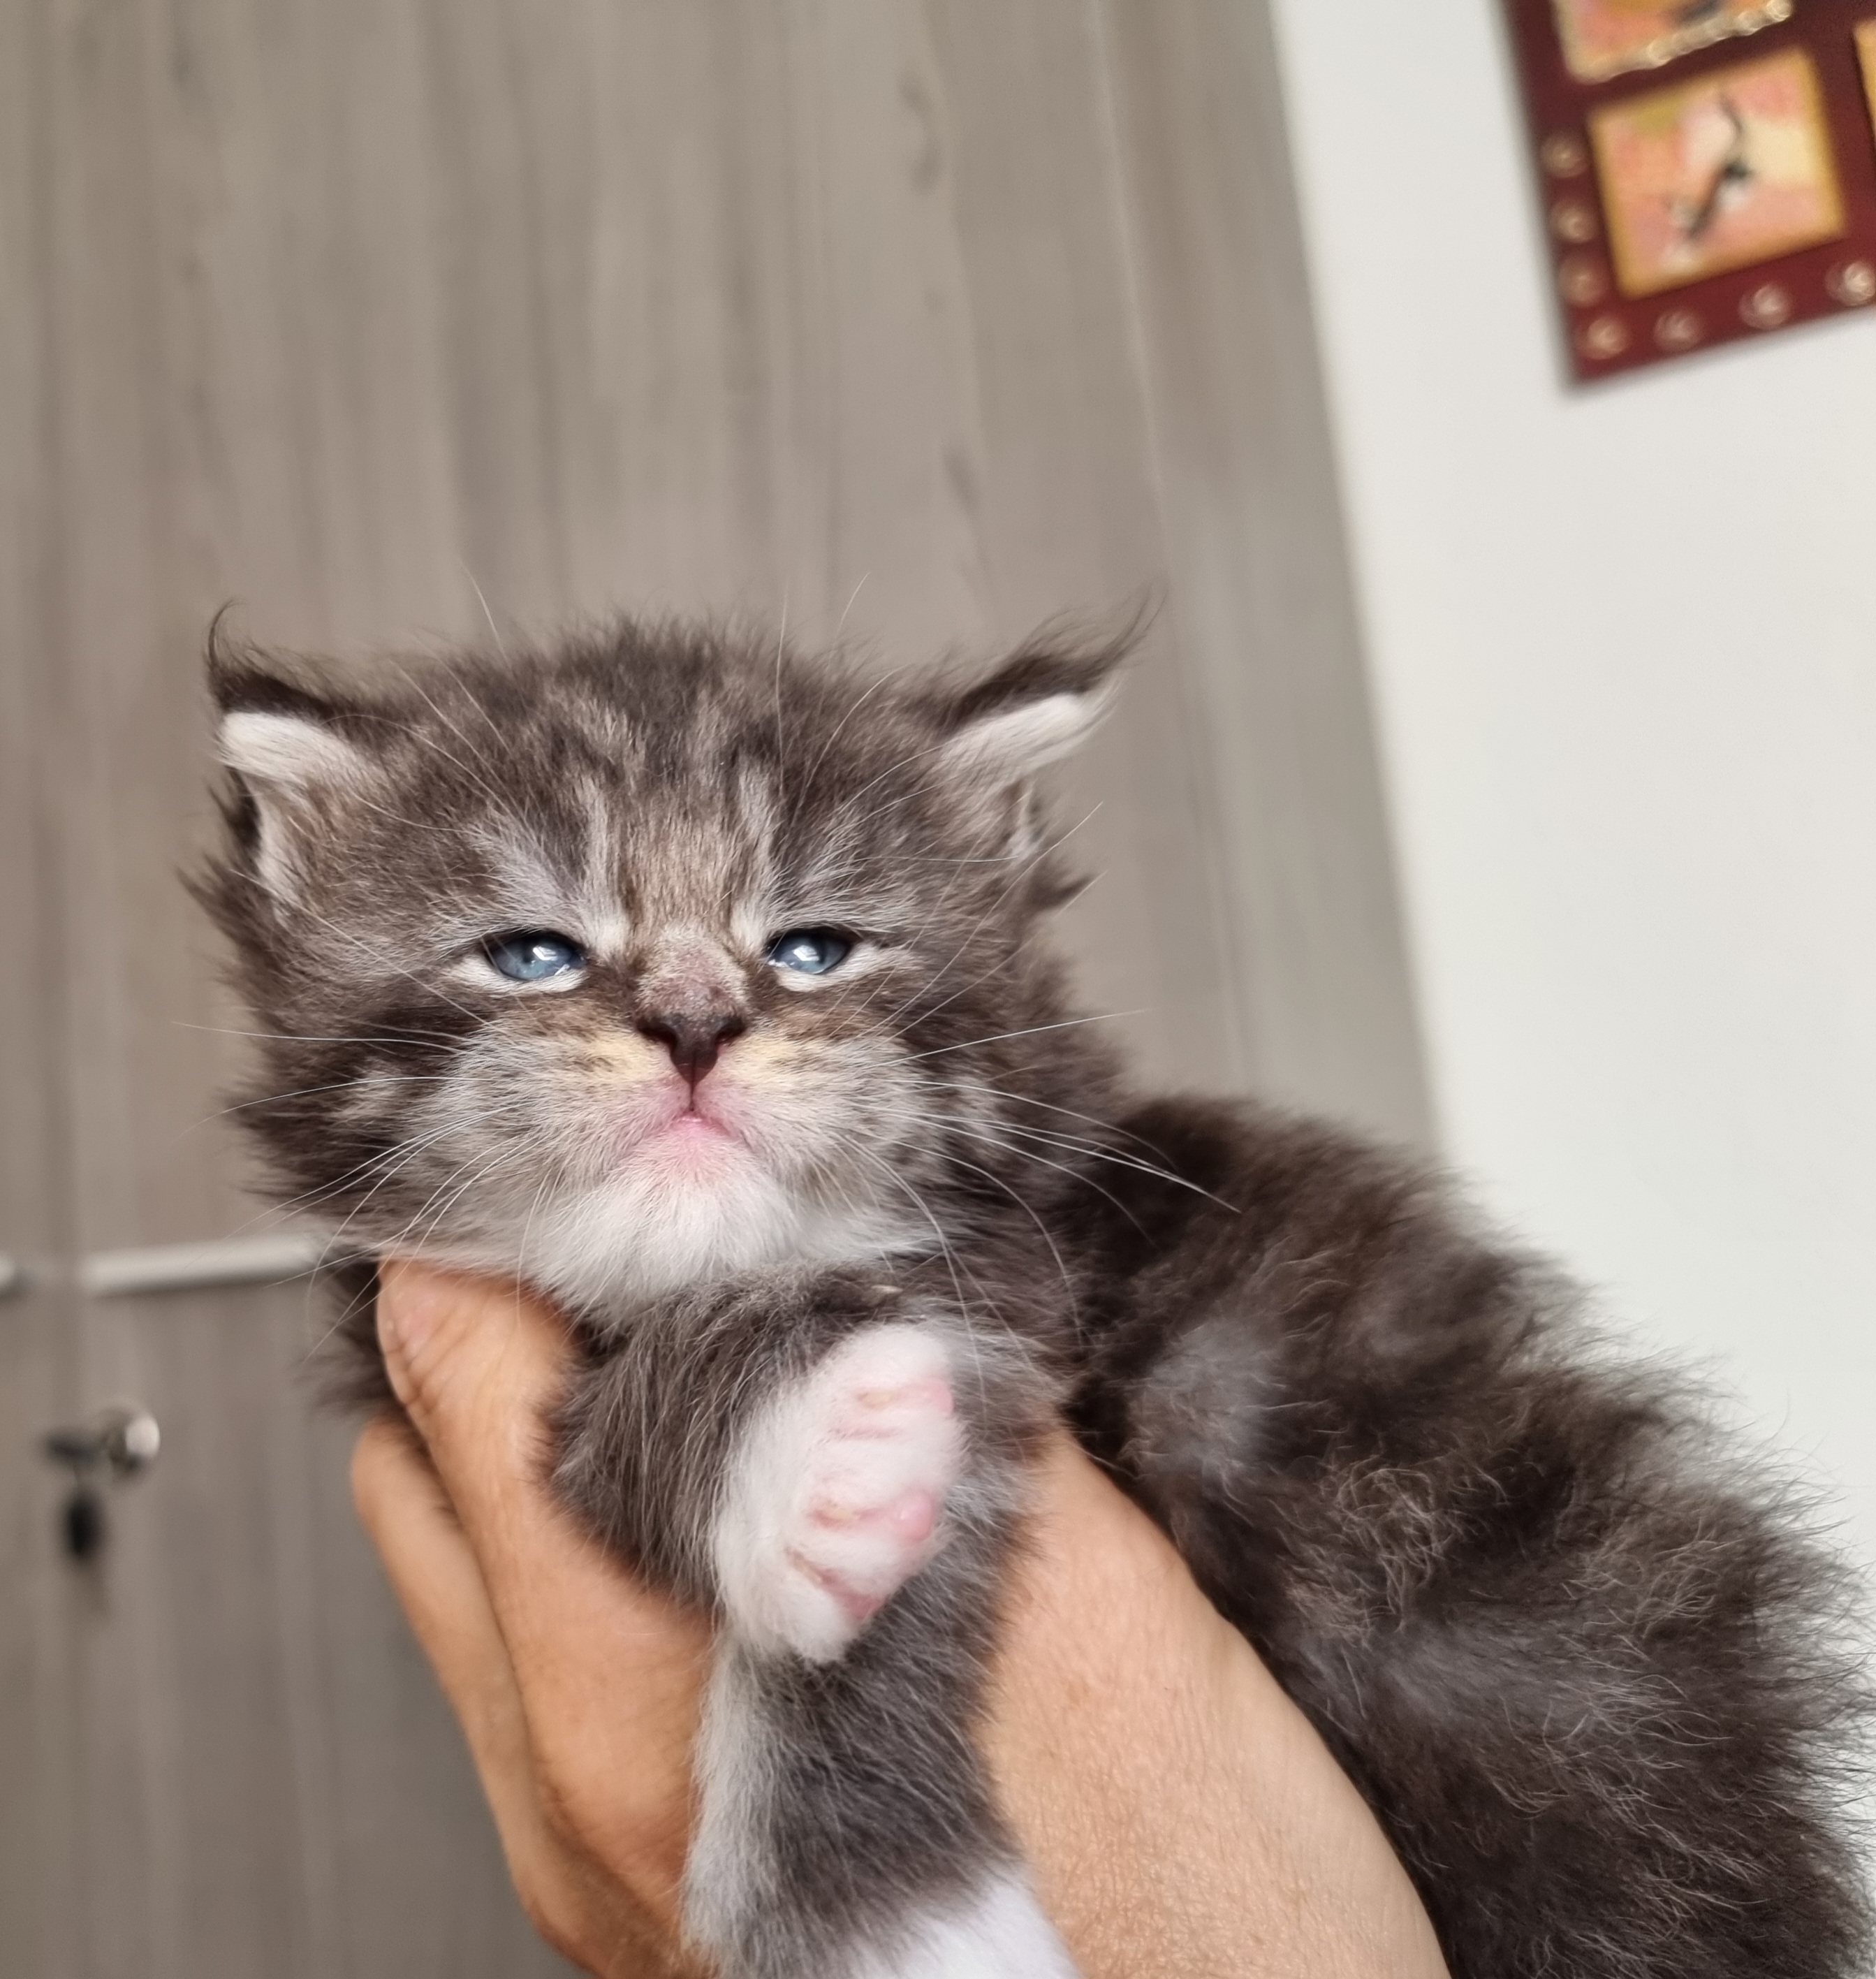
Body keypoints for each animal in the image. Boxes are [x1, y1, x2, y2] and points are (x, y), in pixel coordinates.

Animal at [197, 614, 1869, 1979]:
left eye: (812, 947)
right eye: (534, 955)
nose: (695, 1025)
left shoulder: (1004, 1303)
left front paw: (885, 1915)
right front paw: (814, 1461)